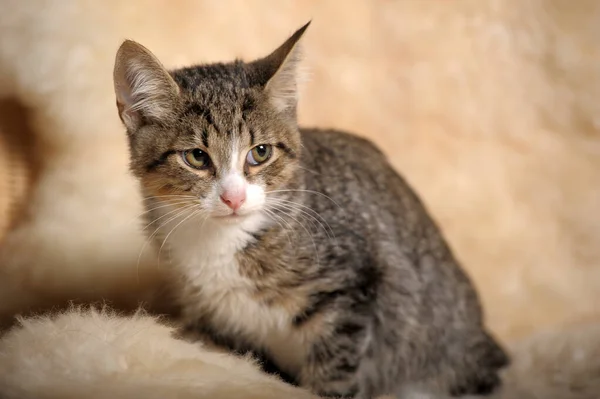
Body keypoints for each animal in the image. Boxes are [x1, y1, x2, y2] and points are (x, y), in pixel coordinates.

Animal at [112, 22, 506, 399]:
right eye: (196, 157)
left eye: (260, 152)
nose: (233, 198)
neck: (222, 241)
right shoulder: (213, 315)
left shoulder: (351, 283)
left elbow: (334, 367)